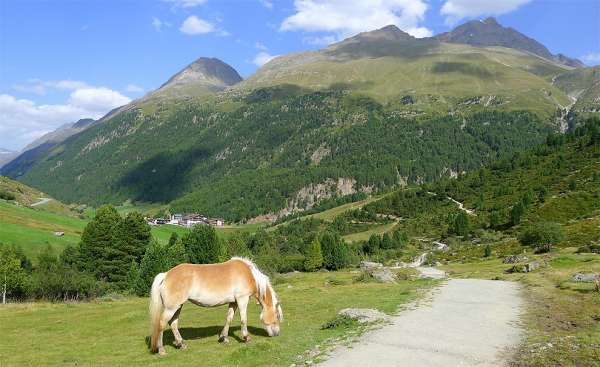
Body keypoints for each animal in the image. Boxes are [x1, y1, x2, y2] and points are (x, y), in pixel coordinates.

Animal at [149, 258, 282, 356]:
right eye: (277, 316)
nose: (276, 334)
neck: (249, 274)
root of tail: (166, 275)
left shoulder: (233, 302)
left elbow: (229, 319)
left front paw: (224, 338)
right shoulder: (242, 299)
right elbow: (243, 319)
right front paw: (246, 338)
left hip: (178, 306)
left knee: (173, 323)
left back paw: (181, 344)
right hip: (171, 308)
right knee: (161, 324)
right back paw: (161, 350)